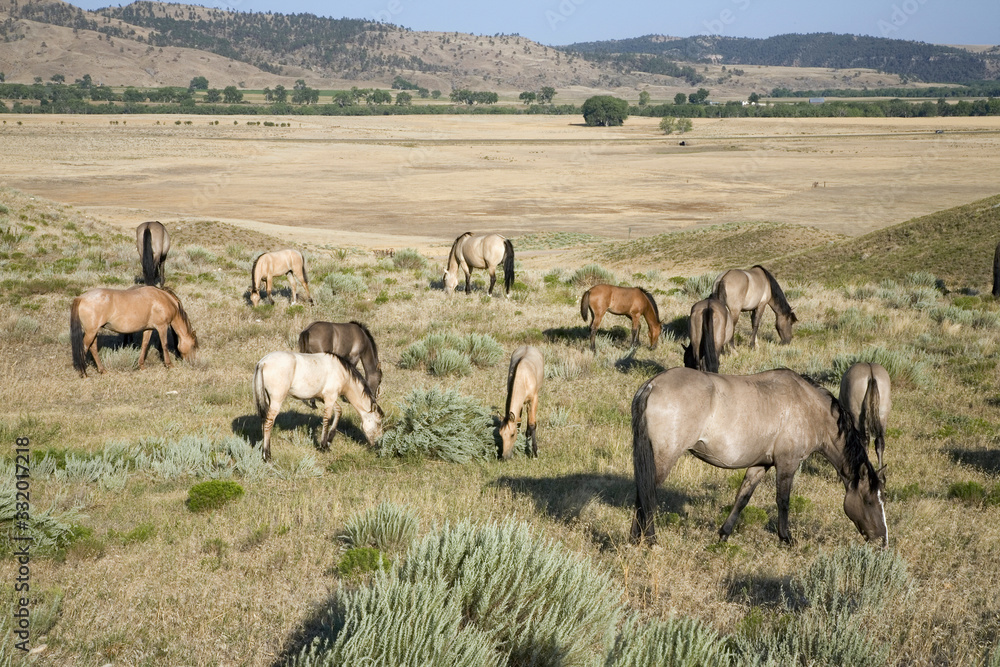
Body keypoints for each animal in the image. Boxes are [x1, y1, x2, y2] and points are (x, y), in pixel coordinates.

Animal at [252, 351, 383, 462]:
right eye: (378, 423)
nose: (378, 446)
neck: (341, 371)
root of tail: (263, 362)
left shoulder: (325, 398)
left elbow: (338, 411)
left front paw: (329, 441)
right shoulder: (330, 398)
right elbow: (327, 419)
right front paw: (324, 446)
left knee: (264, 421)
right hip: (276, 400)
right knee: (268, 423)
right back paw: (267, 456)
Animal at [631, 367, 887, 547]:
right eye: (869, 500)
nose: (883, 540)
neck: (807, 407)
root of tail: (652, 385)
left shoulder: (760, 465)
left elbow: (742, 497)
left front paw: (724, 534)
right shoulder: (787, 464)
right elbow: (783, 501)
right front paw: (786, 538)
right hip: (663, 458)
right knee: (647, 493)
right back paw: (650, 540)